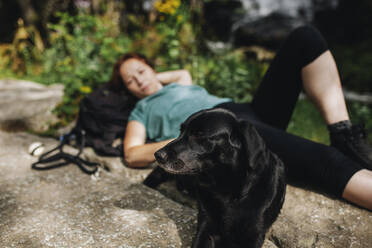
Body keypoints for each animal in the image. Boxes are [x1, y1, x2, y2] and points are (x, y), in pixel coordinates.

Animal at [150, 108, 286, 248]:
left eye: (199, 135)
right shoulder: (206, 225)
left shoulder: (254, 235)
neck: (226, 188)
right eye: (180, 131)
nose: (158, 155)